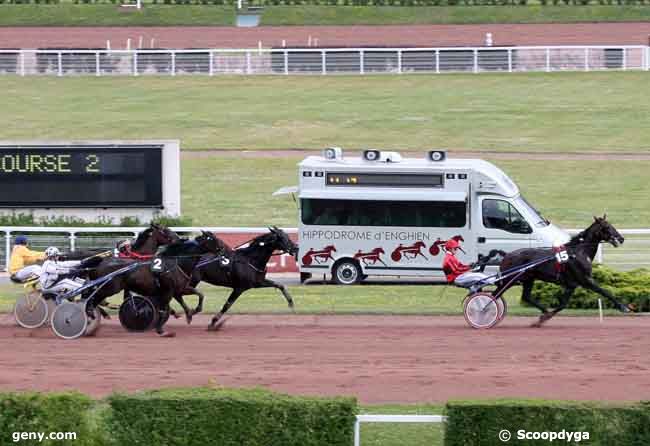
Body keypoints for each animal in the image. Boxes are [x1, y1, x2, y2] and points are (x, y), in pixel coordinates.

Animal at [494, 216, 632, 328]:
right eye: (607, 227)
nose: (621, 239)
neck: (579, 252)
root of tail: (507, 255)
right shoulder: (585, 280)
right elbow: (605, 291)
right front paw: (624, 307)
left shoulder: (571, 285)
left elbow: (563, 305)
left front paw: (543, 318)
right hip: (510, 279)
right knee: (495, 294)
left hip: (529, 279)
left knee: (526, 296)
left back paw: (544, 310)